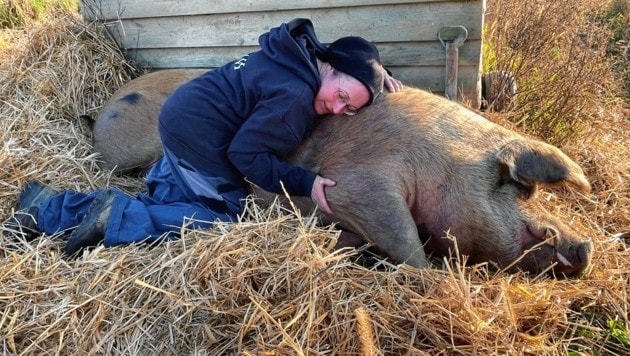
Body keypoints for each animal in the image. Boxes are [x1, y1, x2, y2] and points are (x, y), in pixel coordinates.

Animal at [92, 69, 592, 276]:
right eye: (520, 189)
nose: (586, 247)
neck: (447, 164)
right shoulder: (360, 185)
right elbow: (404, 238)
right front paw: (432, 276)